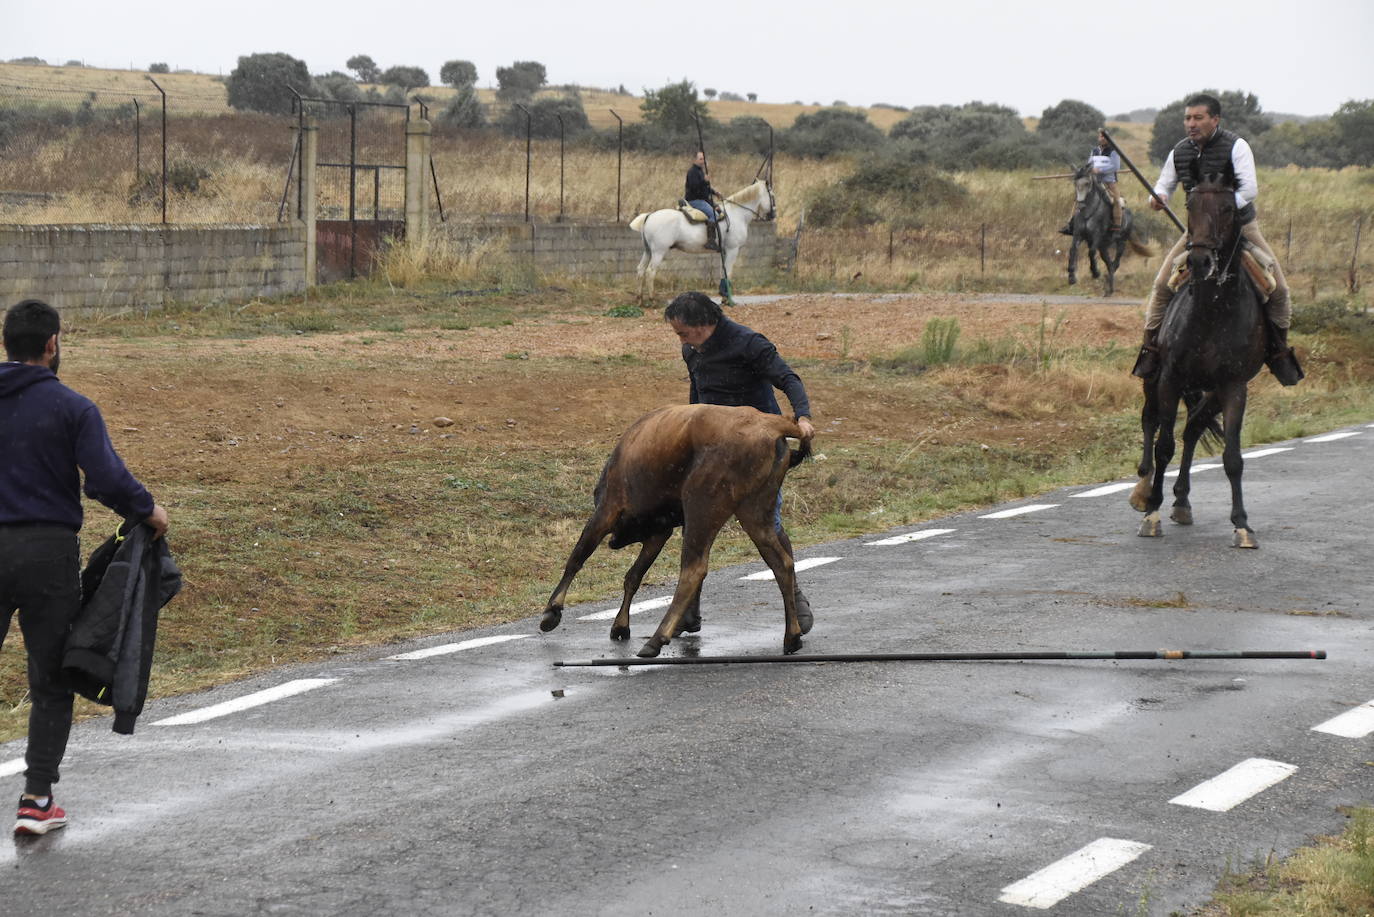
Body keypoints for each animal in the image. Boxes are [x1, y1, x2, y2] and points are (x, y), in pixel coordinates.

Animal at [538, 404, 813, 657]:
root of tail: (775, 425)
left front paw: (551, 612)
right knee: (782, 563)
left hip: (701, 510)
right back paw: (792, 637)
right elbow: (633, 576)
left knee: (694, 570)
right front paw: (620, 626)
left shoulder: (607, 512)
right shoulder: (660, 532)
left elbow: (577, 558)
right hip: (755, 514)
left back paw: (656, 640)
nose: (614, 541)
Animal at [629, 178, 774, 305]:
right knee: (650, 272)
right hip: (659, 252)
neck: (736, 215)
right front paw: (728, 299)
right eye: (772, 196)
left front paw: (724, 297)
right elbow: (729, 273)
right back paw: (652, 300)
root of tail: (649, 216)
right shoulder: (733, 250)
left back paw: (639, 299)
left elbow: (723, 272)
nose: (773, 215)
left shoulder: (725, 251)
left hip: (648, 251)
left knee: (640, 270)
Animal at [1126, 177, 1264, 549]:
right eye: (1190, 205)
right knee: (1151, 421)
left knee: (1192, 427)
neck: (1212, 312)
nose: (1200, 260)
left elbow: (1232, 457)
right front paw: (1151, 514)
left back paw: (1182, 501)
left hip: (1209, 393)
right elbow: (1163, 446)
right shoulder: (1170, 378)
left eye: (1229, 208)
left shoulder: (1232, 386)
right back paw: (1143, 488)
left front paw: (1242, 524)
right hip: (1152, 378)